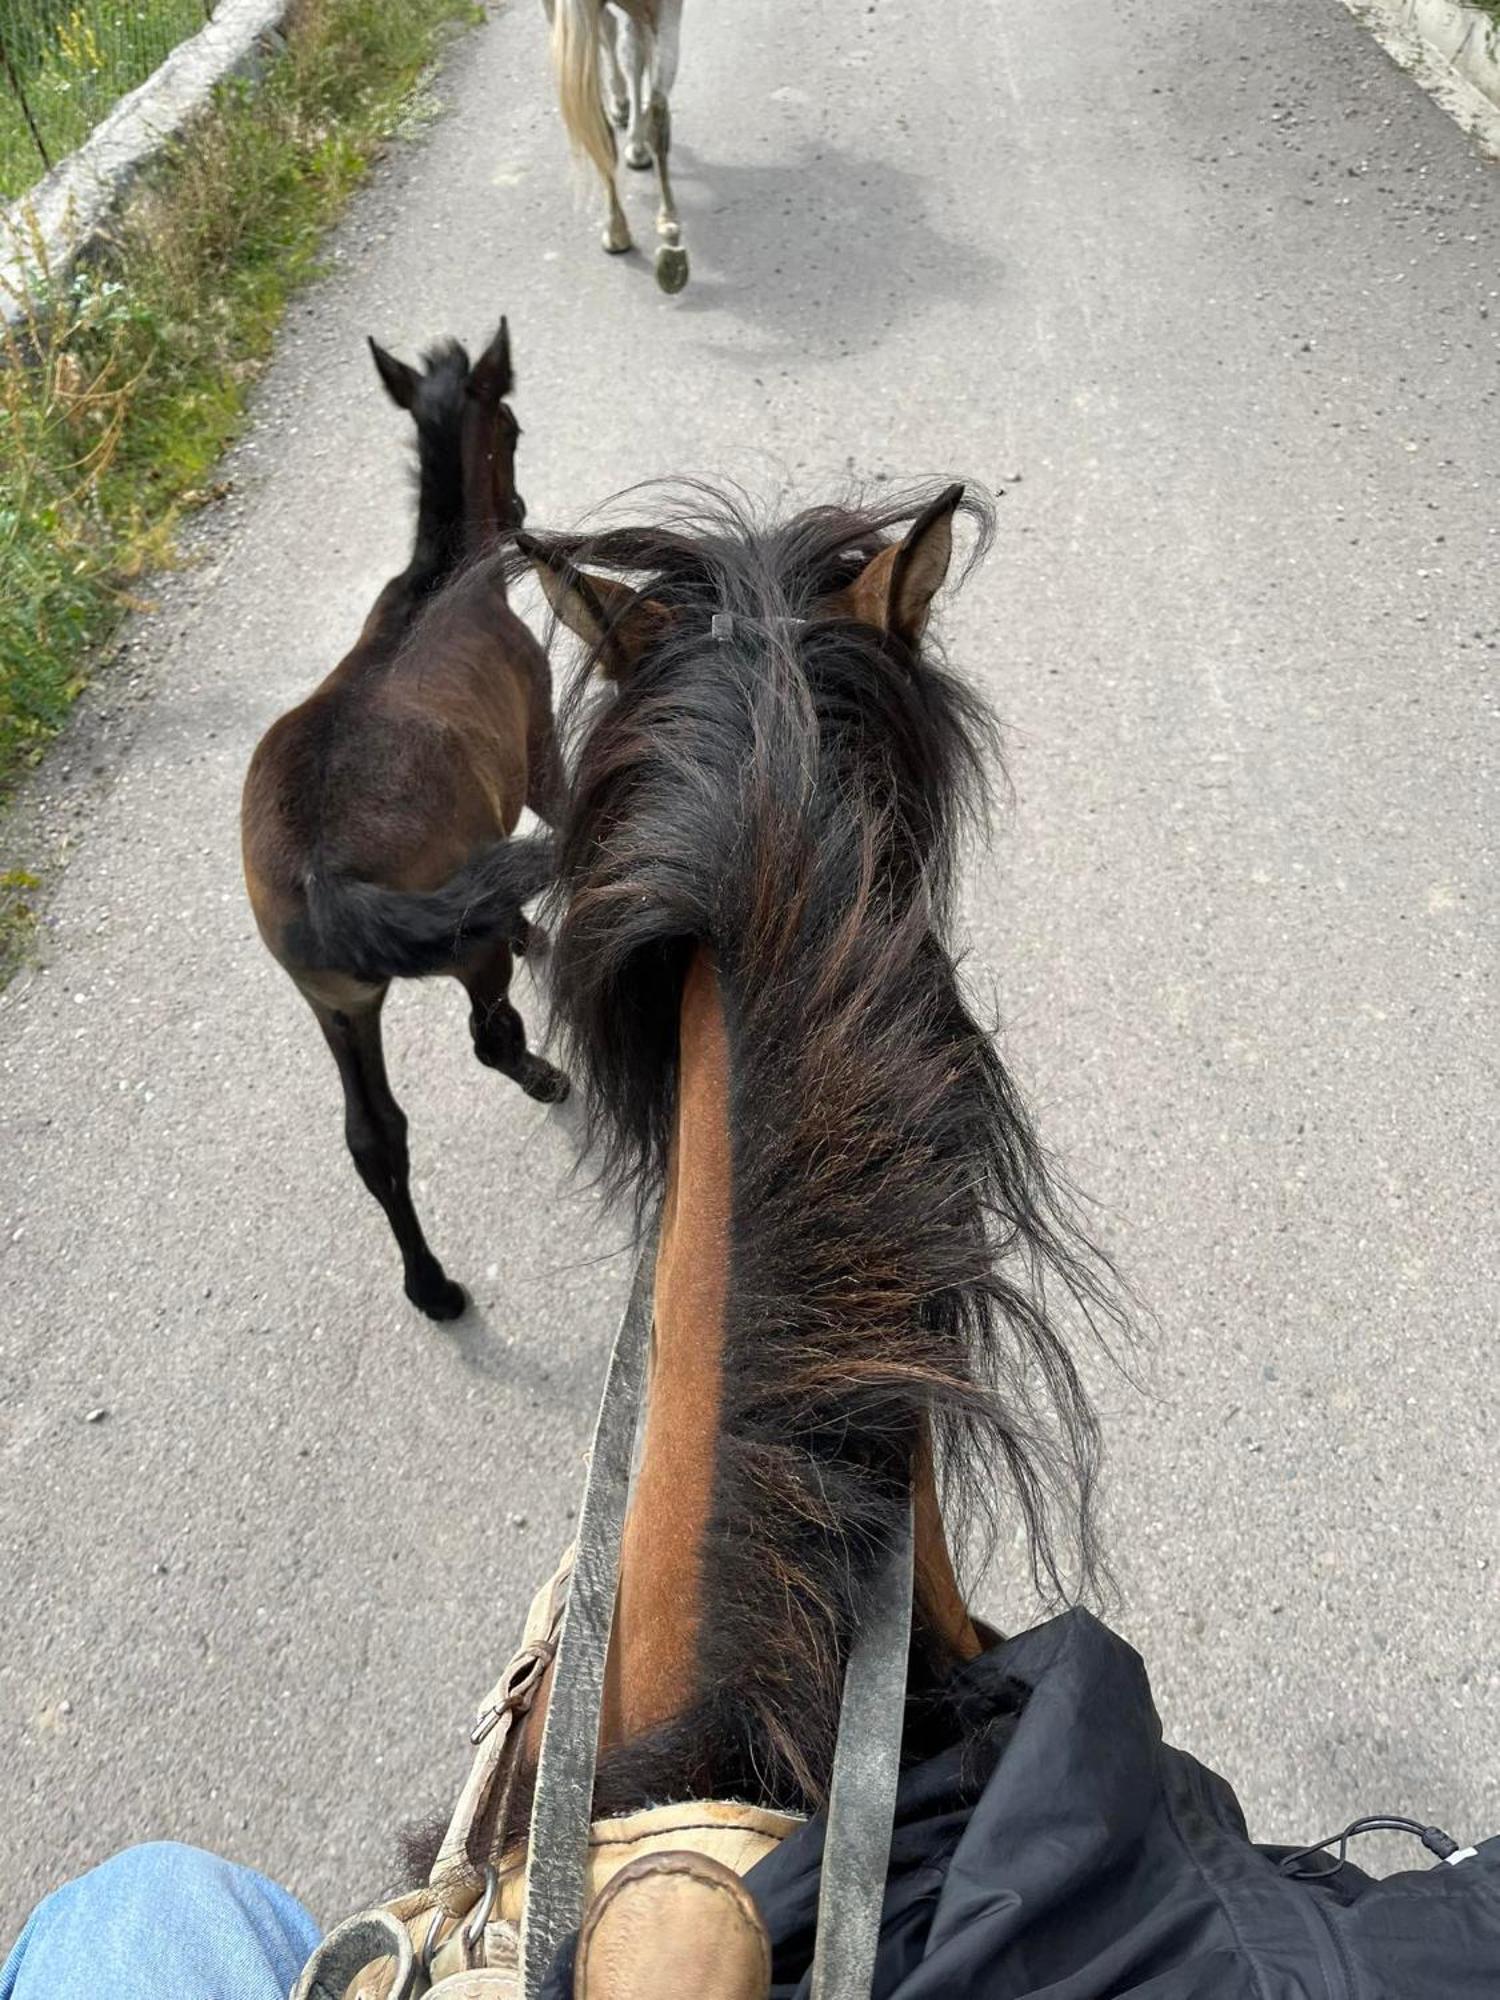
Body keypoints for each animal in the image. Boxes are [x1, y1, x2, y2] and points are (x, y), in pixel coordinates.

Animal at [241, 324, 568, 1328]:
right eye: (511, 425)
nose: (522, 508)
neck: (442, 581)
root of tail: (322, 875)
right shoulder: (538, 749)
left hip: (333, 1003)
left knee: (373, 1137)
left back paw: (431, 1286)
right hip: (454, 957)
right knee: (490, 1036)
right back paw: (548, 1075)